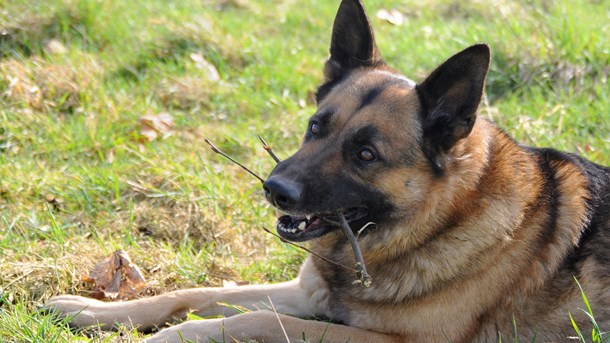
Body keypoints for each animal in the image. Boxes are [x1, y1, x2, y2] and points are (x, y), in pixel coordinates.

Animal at [44, 0, 608, 342]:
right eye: (316, 126)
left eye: (366, 155)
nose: (275, 189)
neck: (434, 224)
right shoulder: (307, 293)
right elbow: (197, 293)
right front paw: (95, 311)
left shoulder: (380, 336)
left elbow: (256, 319)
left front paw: (172, 336)